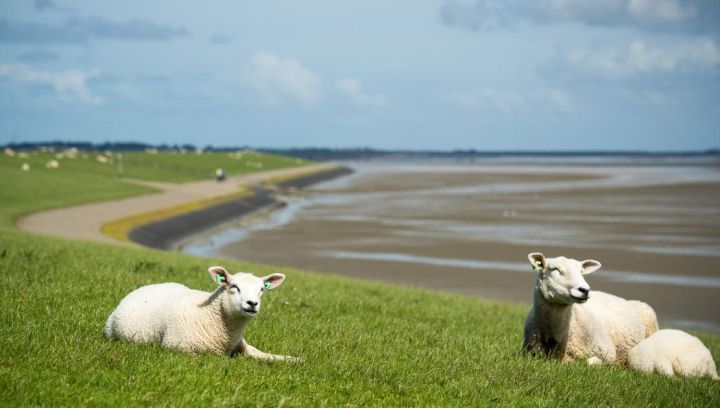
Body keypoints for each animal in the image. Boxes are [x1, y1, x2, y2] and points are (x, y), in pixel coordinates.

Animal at [102, 266, 296, 362]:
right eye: (233, 286)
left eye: (262, 289)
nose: (252, 303)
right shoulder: (177, 347)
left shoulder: (242, 346)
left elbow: (267, 355)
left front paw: (294, 360)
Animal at [524, 253, 660, 364]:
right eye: (555, 269)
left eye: (581, 271)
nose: (585, 290)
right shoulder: (530, 354)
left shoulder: (607, 353)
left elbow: (587, 362)